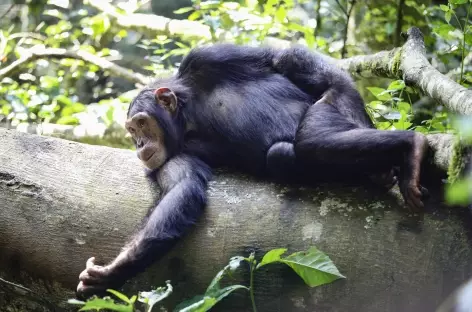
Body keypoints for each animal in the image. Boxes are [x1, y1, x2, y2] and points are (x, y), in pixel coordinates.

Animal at [75, 43, 430, 298]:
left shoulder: (207, 57)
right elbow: (182, 187)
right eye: (131, 131)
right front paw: (116, 270)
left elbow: (280, 57)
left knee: (319, 121)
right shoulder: (170, 158)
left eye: (141, 124)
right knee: (287, 153)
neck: (187, 118)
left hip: (331, 103)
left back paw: (408, 146)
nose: (138, 144)